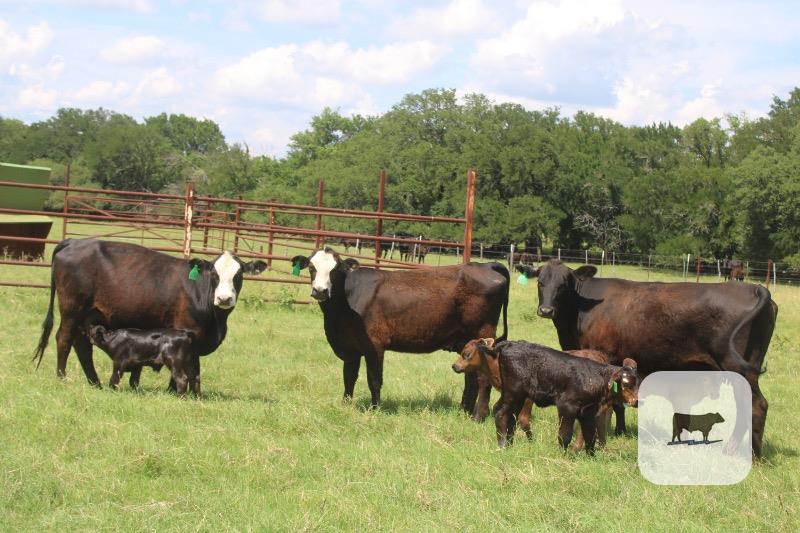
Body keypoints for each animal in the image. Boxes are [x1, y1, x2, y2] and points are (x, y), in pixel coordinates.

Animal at [33, 239, 267, 391]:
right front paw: (175, 391)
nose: (224, 298)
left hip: (88, 315)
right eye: (214, 274)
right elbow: (189, 365)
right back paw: (62, 378)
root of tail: (72, 242)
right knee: (64, 339)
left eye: (239, 275)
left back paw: (95, 383)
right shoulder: (187, 331)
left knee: (82, 345)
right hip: (71, 310)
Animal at [290, 247, 509, 412]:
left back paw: (477, 414)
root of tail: (484, 264)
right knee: (471, 378)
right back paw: (465, 410)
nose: (320, 291)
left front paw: (375, 409)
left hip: (483, 334)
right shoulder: (350, 348)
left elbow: (374, 380)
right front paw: (345, 406)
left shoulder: (375, 346)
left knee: (482, 378)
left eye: (335, 270)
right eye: (311, 267)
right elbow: (349, 378)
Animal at [491, 340, 638, 454]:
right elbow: (565, 435)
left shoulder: (588, 411)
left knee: (511, 415)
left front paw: (592, 457)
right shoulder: (566, 406)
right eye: (625, 383)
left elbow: (590, 434)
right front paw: (564, 455)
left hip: (518, 396)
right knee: (500, 411)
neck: (592, 379)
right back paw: (502, 445)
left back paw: (509, 444)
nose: (636, 401)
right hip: (513, 391)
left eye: (638, 382)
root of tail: (509, 344)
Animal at [516, 260, 778, 457]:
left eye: (564, 284)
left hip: (736, 368)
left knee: (756, 405)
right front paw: (619, 430)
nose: (546, 310)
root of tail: (755, 288)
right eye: (540, 282)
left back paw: (747, 453)